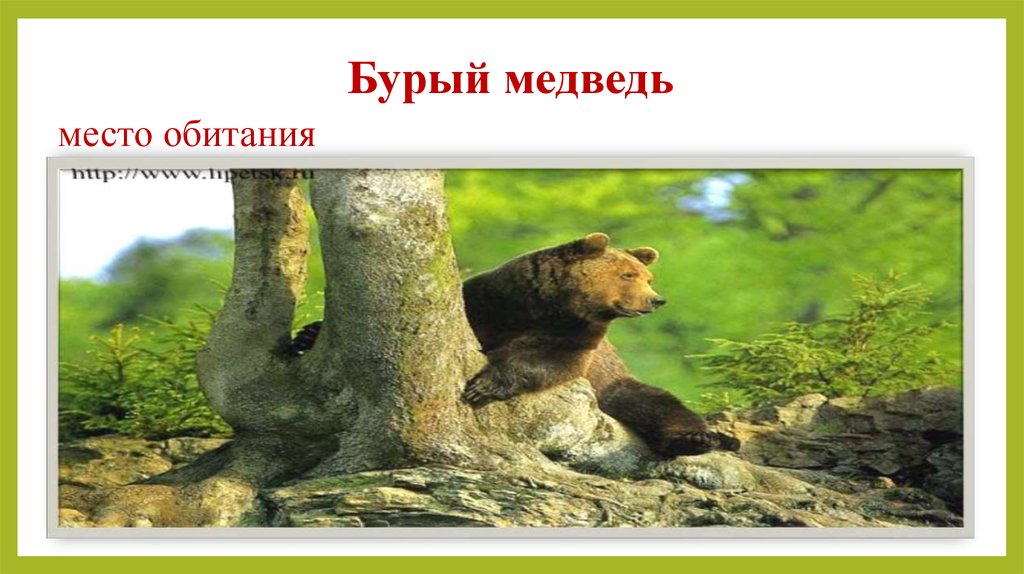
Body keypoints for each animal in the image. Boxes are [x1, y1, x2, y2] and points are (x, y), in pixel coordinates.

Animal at [460, 232, 738, 457]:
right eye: (628, 275)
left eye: (648, 279)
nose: (656, 300)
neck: (554, 306)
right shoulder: (496, 300)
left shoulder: (578, 335)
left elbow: (551, 362)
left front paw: (485, 385)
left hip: (612, 384)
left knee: (657, 403)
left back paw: (699, 439)